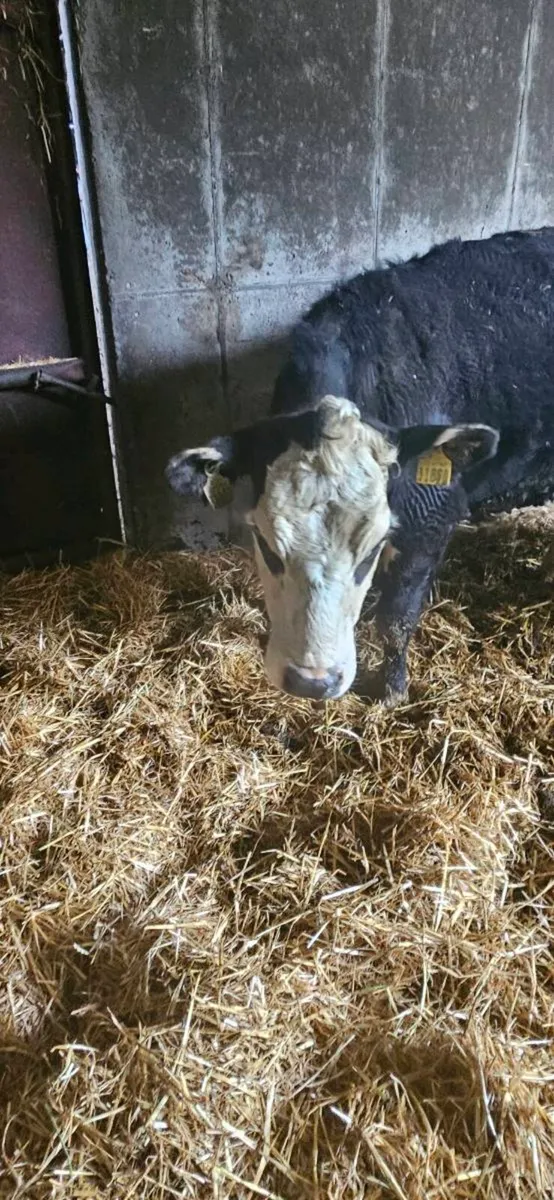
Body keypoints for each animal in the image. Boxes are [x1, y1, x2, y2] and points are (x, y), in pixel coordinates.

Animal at [166, 228, 554, 706]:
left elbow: (395, 619)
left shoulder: (432, 520)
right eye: (267, 545)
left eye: (370, 551)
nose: (313, 681)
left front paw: (392, 690)